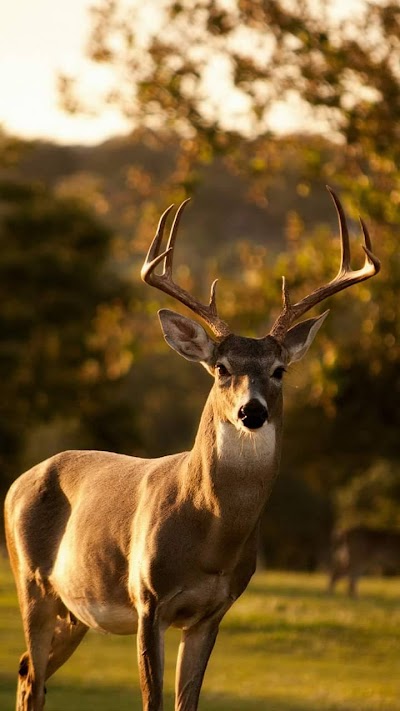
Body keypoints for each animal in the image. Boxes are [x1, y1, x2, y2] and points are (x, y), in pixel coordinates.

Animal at [3, 186, 380, 708]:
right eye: (221, 368)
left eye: (279, 370)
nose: (251, 412)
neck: (209, 536)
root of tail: (18, 483)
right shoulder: (148, 600)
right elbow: (153, 700)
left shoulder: (212, 612)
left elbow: (188, 701)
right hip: (31, 583)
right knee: (33, 674)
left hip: (74, 610)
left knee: (25, 672)